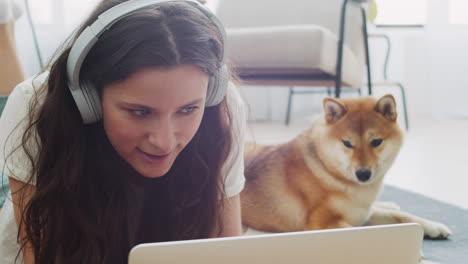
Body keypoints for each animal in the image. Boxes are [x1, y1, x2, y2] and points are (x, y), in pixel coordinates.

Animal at [243, 94, 452, 238]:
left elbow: (403, 216)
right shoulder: (323, 222)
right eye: (347, 143)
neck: (327, 171)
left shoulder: (363, 213)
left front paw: (433, 226)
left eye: (376, 142)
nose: (363, 174)